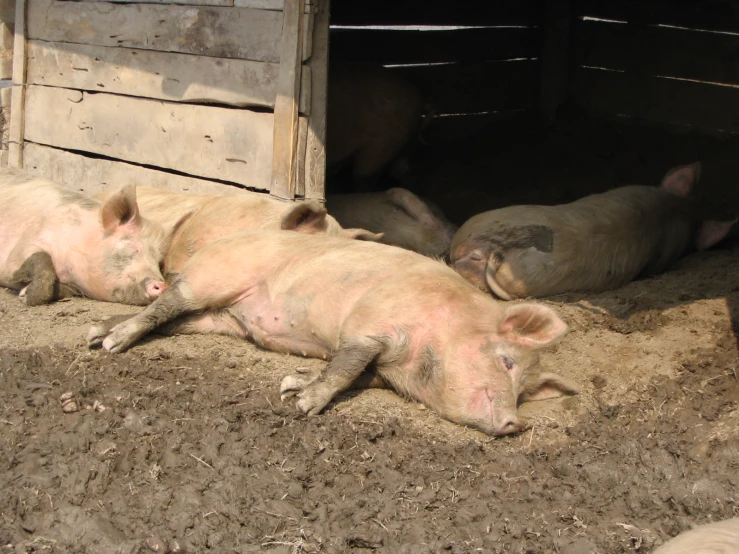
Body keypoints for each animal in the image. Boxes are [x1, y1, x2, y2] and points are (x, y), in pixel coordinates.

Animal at [0, 169, 169, 306]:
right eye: (133, 246)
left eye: (159, 262)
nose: (163, 285)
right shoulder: (21, 248)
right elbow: (40, 260)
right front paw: (24, 297)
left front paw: (24, 292)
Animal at [88, 230, 580, 436]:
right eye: (506, 361)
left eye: (524, 392)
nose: (518, 422)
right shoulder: (372, 324)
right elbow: (345, 367)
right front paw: (303, 406)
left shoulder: (382, 367)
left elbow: (353, 373)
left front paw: (291, 386)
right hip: (211, 278)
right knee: (167, 303)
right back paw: (110, 344)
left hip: (221, 318)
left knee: (173, 319)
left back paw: (97, 333)